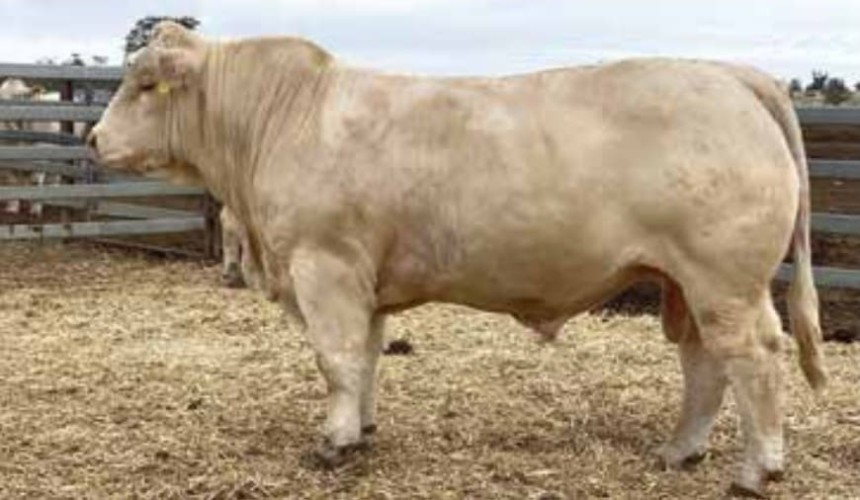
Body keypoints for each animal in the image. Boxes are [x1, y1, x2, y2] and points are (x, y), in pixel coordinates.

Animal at [88, 22, 826, 496]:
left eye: (145, 84)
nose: (94, 138)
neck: (280, 119)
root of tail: (730, 74)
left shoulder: (323, 266)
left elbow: (335, 359)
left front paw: (333, 443)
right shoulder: (365, 282)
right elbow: (366, 357)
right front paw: (363, 427)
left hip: (726, 280)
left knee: (754, 358)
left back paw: (756, 471)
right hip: (686, 282)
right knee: (704, 364)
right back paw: (679, 452)